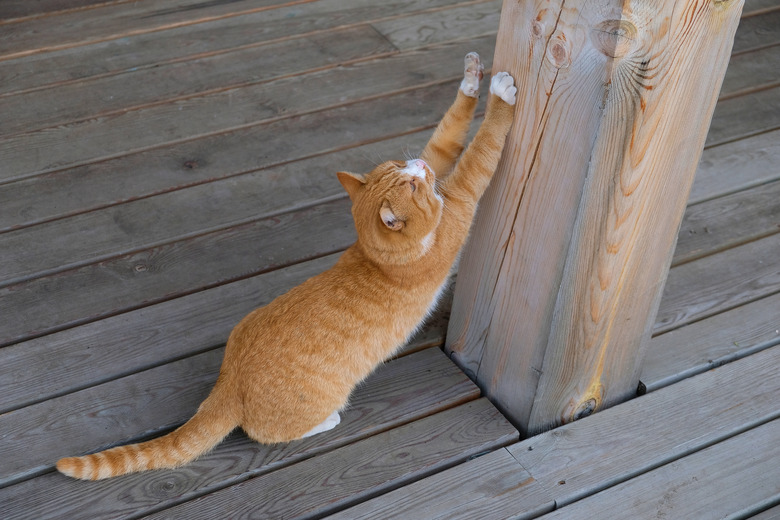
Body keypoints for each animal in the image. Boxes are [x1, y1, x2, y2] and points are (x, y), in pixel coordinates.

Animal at [56, 52, 516, 480]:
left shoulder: (443, 167)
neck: (377, 256)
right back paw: (327, 420)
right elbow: (483, 147)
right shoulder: (461, 198)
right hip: (310, 406)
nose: (418, 167)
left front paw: (472, 76)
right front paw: (501, 93)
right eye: (411, 184)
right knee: (267, 434)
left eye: (406, 168)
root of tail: (229, 383)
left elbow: (449, 133)